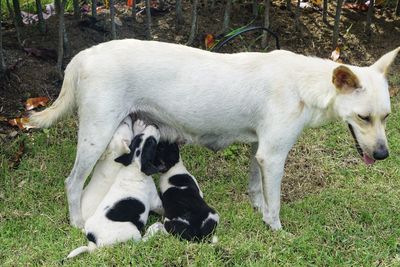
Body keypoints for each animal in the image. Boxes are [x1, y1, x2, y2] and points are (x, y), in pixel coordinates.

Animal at [29, 39, 398, 230]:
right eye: (363, 117)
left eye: (386, 117)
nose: (382, 155)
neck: (304, 85)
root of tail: (82, 56)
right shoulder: (273, 156)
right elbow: (275, 204)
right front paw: (276, 230)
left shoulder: (260, 151)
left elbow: (257, 189)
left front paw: (258, 210)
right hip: (96, 134)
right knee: (72, 182)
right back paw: (77, 222)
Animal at [67, 121, 162, 260]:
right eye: (152, 142)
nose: (155, 125)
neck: (134, 165)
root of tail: (94, 241)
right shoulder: (155, 200)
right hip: (132, 231)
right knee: (141, 241)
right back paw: (155, 228)